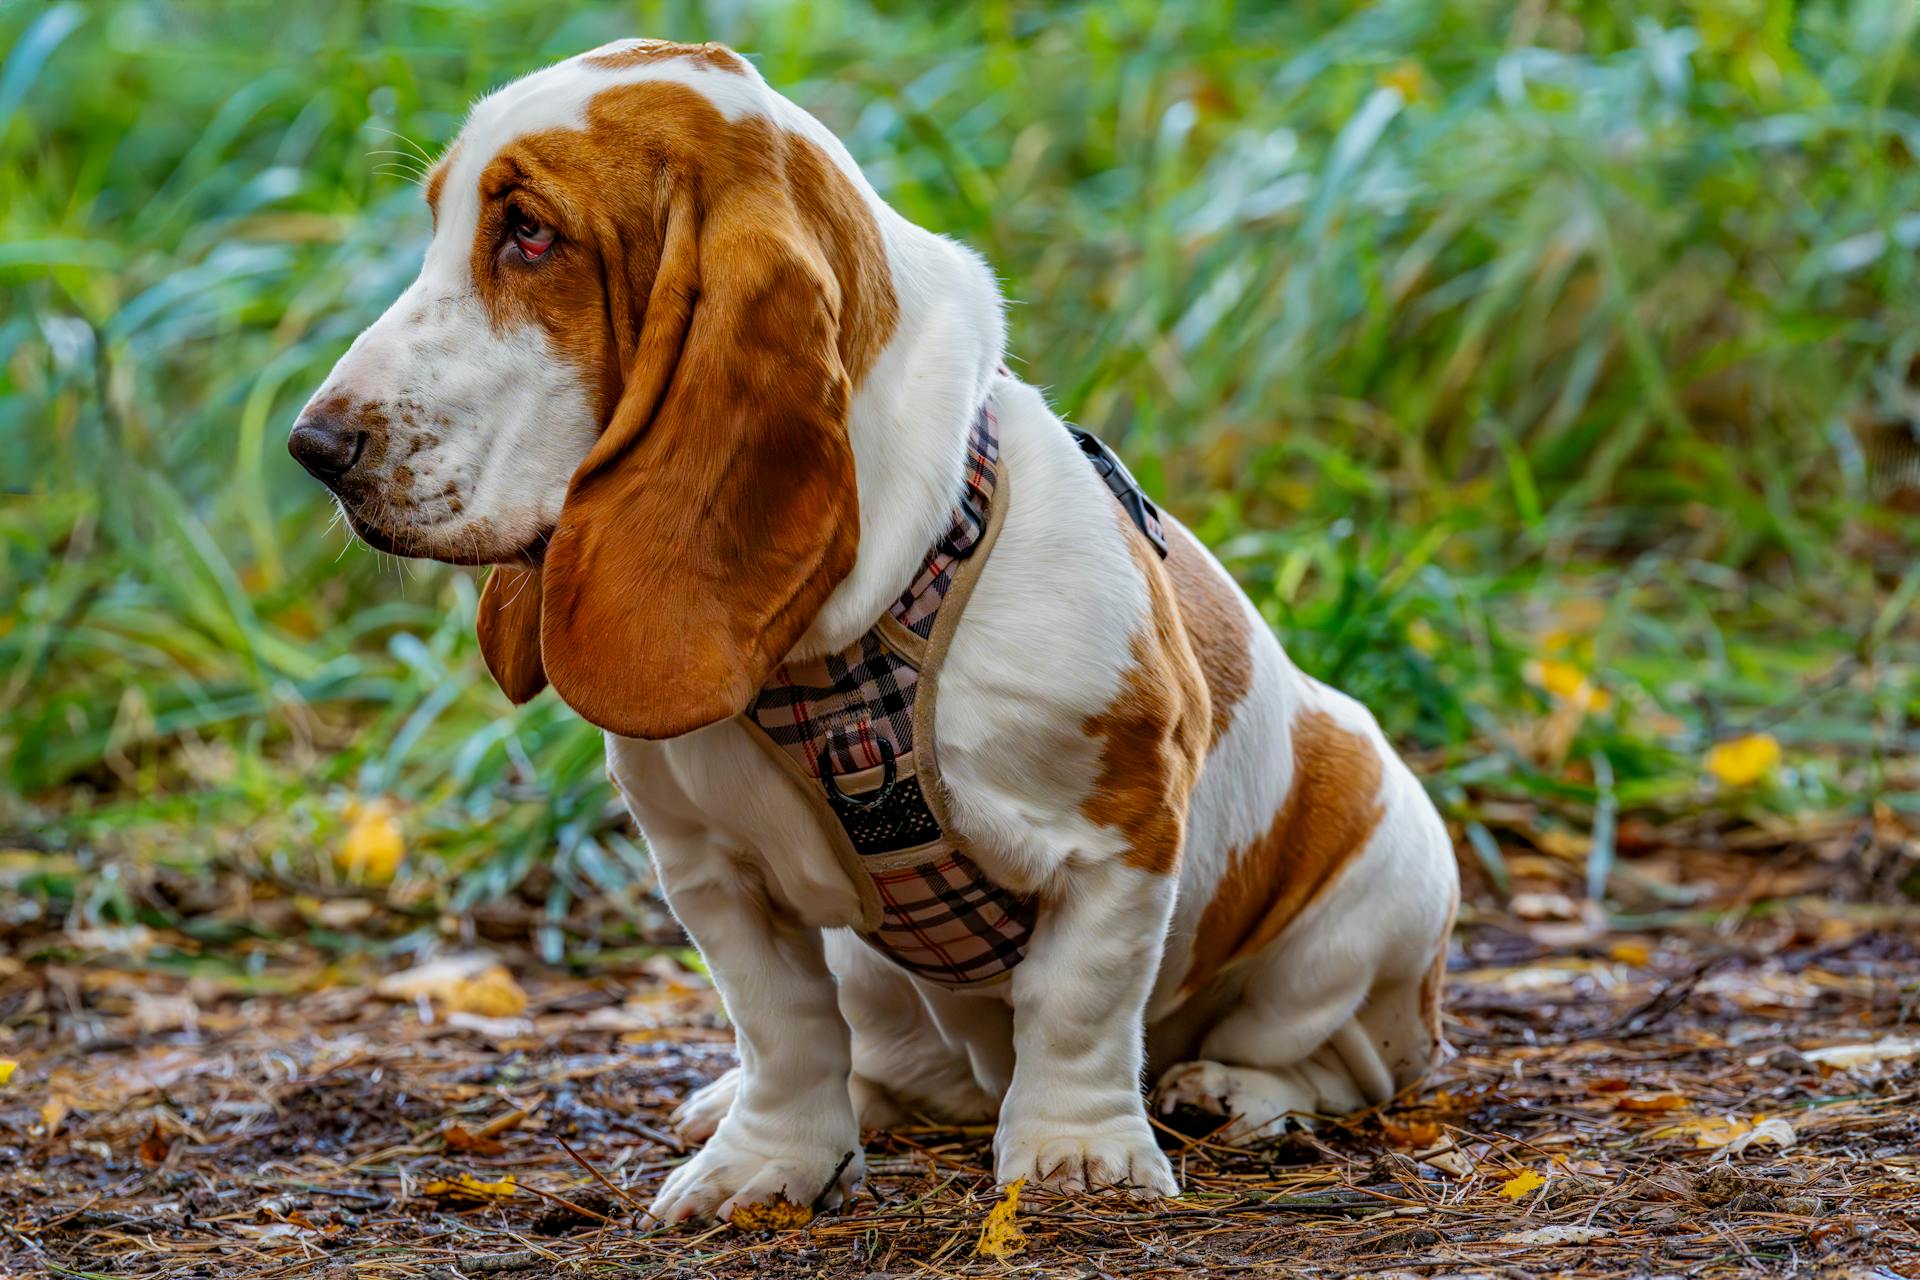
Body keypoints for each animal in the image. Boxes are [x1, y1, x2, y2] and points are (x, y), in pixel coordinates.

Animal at [288, 37, 1451, 1220]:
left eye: (529, 232)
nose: (313, 447)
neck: (837, 651)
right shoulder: (710, 869)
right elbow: (783, 1026)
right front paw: (768, 1162)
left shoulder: (1120, 831)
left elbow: (1077, 1006)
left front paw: (1075, 1156)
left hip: (1381, 899)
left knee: (1340, 1060)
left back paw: (1235, 1091)